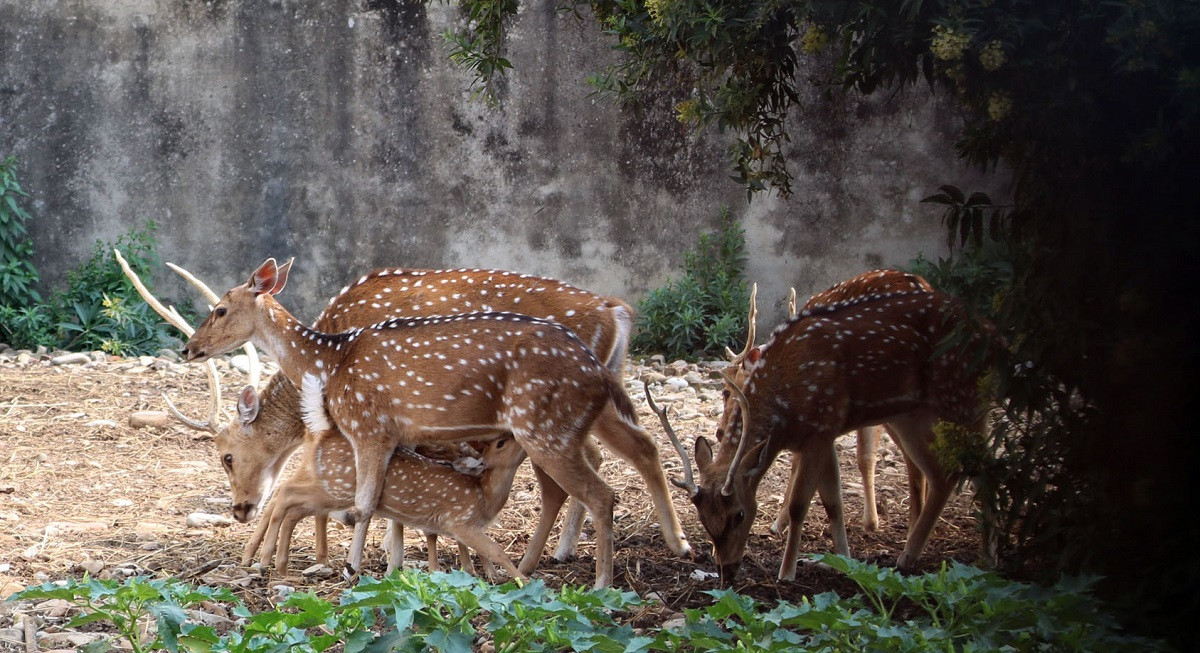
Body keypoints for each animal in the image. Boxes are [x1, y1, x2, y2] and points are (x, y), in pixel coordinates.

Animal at [246, 369, 532, 578]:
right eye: (501, 442)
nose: (518, 434)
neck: (484, 497)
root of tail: (325, 429)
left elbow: (475, 550)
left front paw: (487, 576)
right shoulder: (460, 520)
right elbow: (495, 550)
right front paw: (522, 581)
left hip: (326, 484)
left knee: (291, 503)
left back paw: (277, 564)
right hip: (337, 486)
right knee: (286, 493)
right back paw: (267, 561)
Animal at [657, 288, 993, 583]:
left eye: (740, 514)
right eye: (702, 519)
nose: (726, 571)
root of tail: (990, 331)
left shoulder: (820, 427)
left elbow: (799, 504)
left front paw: (787, 572)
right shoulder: (826, 434)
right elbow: (833, 500)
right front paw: (844, 560)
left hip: (961, 398)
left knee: (974, 467)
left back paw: (944, 557)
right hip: (912, 415)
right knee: (947, 473)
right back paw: (948, 556)